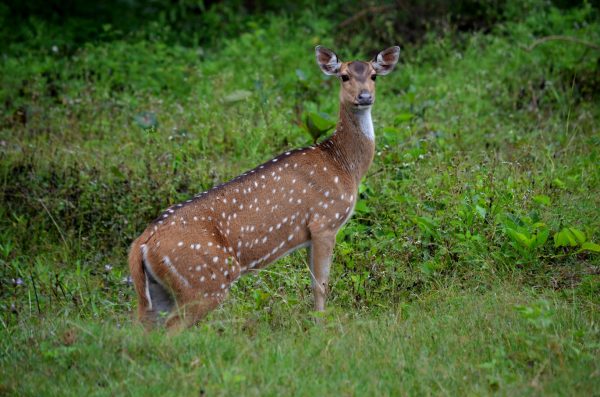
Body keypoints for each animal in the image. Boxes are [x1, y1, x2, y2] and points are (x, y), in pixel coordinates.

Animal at [127, 44, 398, 332]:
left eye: (374, 75)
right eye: (344, 76)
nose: (365, 96)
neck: (343, 164)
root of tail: (141, 244)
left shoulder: (311, 233)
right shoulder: (325, 220)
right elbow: (321, 286)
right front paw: (321, 327)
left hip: (158, 292)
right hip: (202, 282)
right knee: (173, 328)